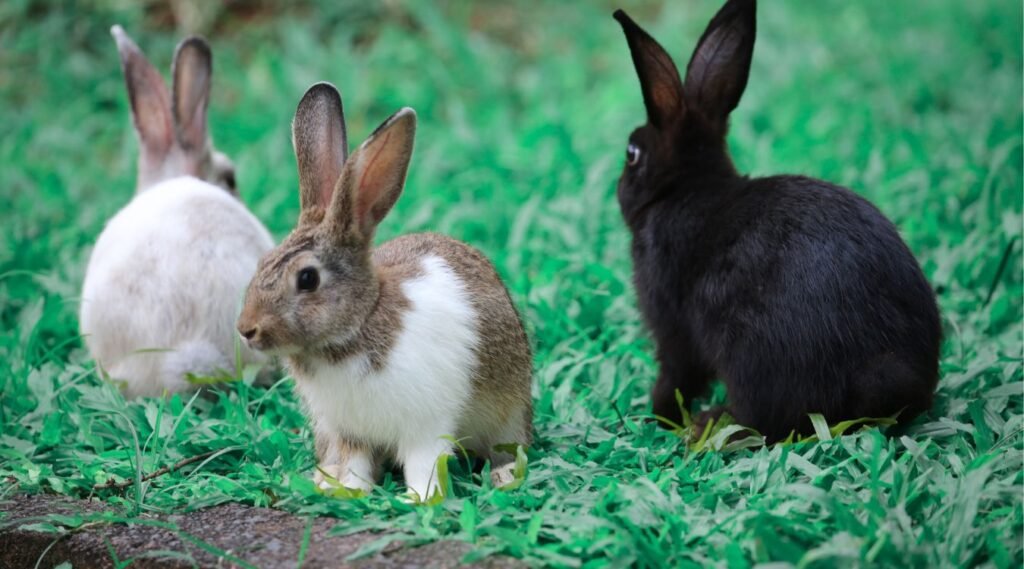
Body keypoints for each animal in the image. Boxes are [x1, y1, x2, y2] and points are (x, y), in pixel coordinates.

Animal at [236, 83, 533, 501]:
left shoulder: (425, 425)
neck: (357, 325)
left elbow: (424, 463)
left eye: (307, 279)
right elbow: (357, 464)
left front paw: (420, 500)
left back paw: (505, 476)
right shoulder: (350, 433)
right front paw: (348, 491)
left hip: (510, 411)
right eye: (263, 262)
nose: (246, 329)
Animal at [612, 0, 941, 443]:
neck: (684, 188)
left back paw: (708, 425)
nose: (618, 187)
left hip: (750, 352)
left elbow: (676, 375)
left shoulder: (672, 324)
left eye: (631, 153)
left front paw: (659, 415)